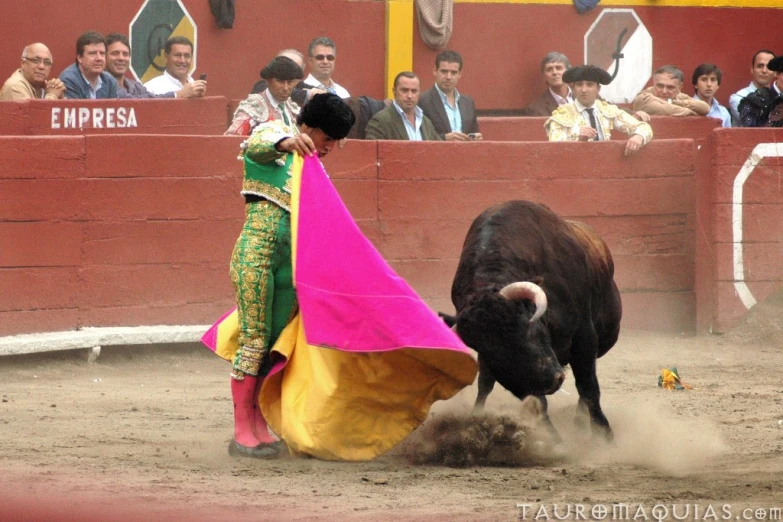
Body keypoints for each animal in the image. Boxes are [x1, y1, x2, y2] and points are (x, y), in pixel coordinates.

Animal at [444, 199, 620, 438]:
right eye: (490, 352)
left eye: (527, 328)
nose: (553, 381)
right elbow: (537, 401)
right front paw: (551, 438)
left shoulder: (584, 336)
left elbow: (588, 386)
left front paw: (603, 435)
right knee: (485, 385)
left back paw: (579, 423)